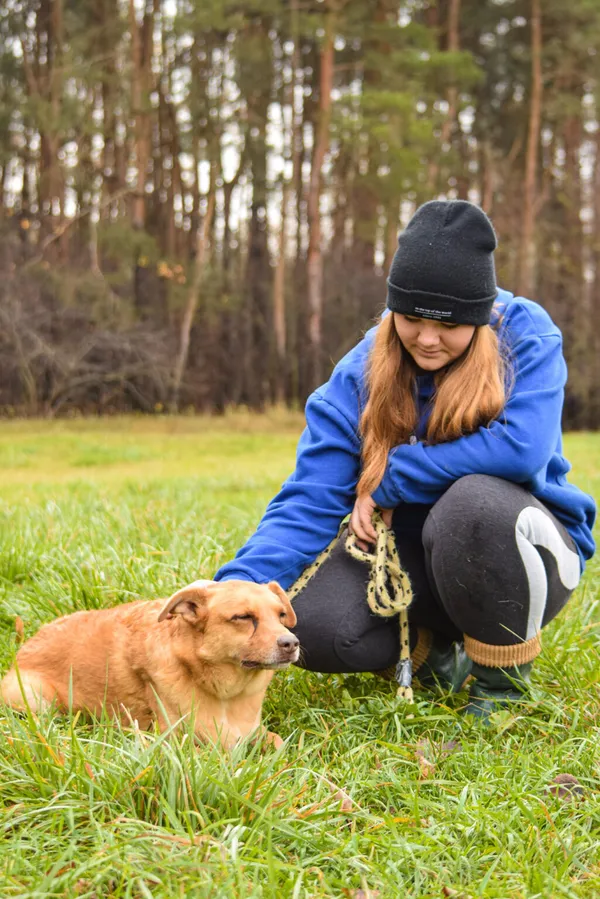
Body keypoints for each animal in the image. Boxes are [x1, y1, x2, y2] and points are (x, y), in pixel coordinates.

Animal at [0, 580, 300, 748]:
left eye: (281, 615)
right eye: (243, 617)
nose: (292, 643)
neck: (227, 693)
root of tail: (26, 644)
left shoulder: (256, 732)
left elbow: (278, 743)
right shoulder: (174, 744)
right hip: (35, 697)